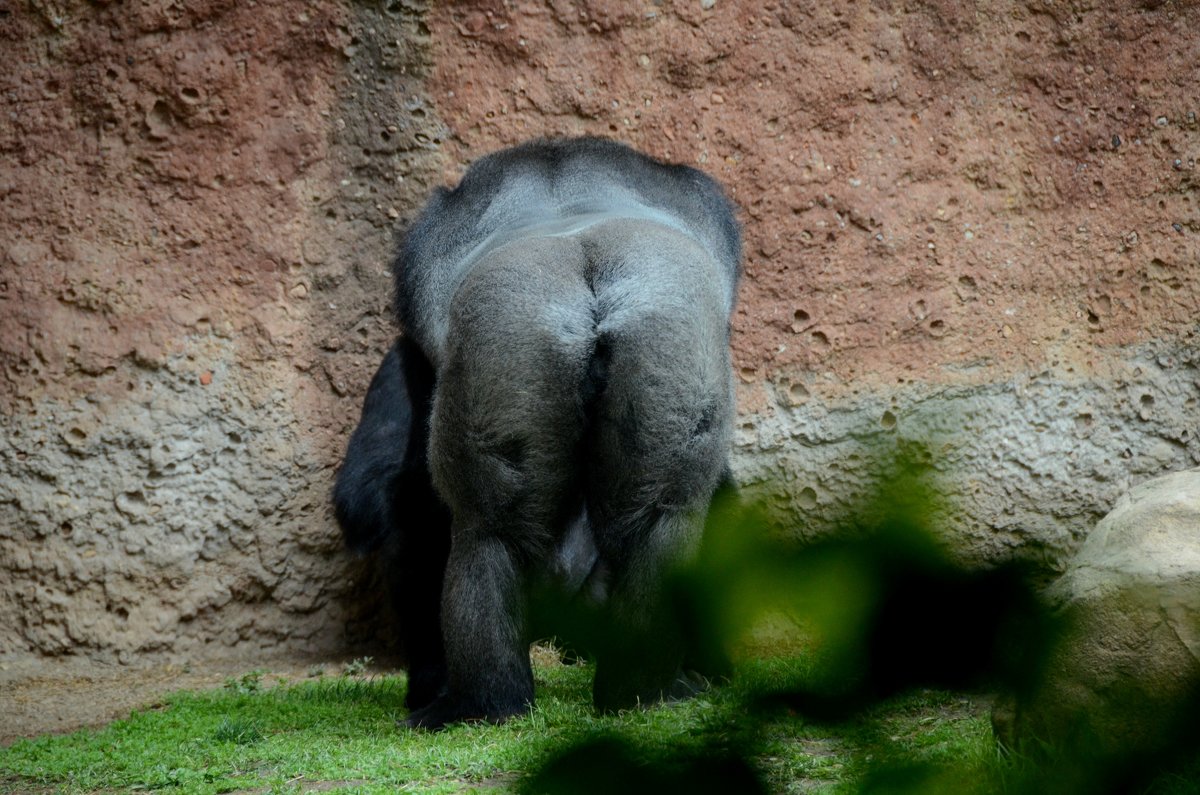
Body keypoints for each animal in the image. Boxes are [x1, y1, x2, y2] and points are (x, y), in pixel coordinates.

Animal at [333, 136, 734, 730]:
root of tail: (588, 271)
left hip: (510, 329)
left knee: (486, 532)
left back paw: (481, 699)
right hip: (660, 322)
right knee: (660, 520)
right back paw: (644, 688)